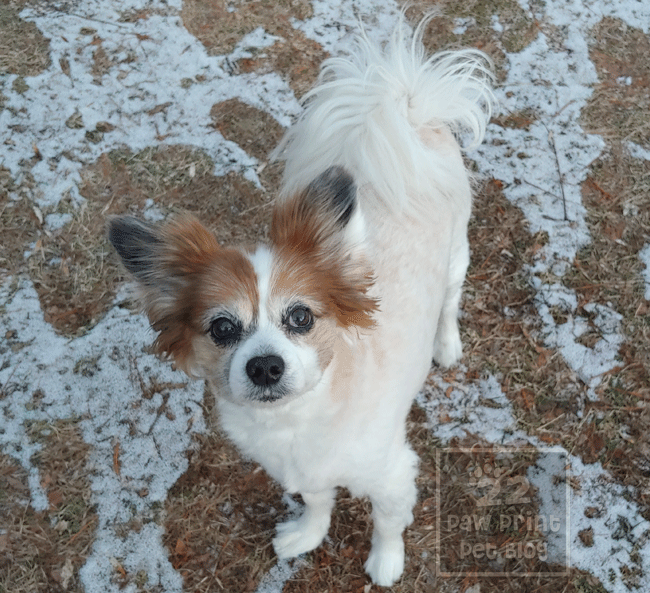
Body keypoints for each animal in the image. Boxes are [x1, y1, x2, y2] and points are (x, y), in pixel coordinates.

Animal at [107, 16, 492, 584]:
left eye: (301, 317)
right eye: (222, 328)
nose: (265, 366)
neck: (296, 420)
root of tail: (407, 104)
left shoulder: (392, 473)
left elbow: (388, 522)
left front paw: (386, 563)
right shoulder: (305, 472)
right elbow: (317, 501)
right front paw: (308, 534)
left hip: (455, 258)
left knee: (449, 302)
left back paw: (445, 345)